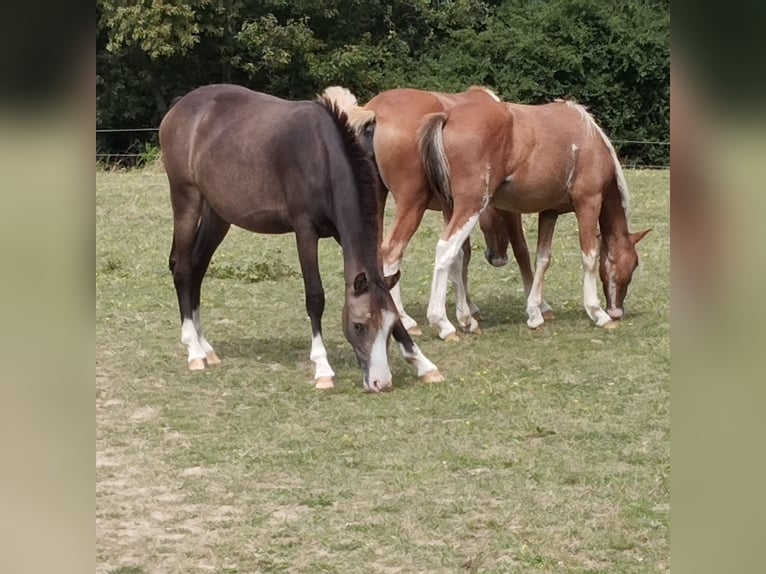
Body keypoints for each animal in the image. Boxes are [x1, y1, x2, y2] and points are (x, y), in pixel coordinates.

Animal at [160, 84, 444, 392]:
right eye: (359, 325)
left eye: (390, 326)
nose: (380, 382)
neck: (321, 156)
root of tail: (179, 106)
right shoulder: (305, 231)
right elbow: (315, 296)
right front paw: (322, 368)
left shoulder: (340, 234)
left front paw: (424, 364)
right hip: (186, 200)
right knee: (183, 270)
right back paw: (194, 350)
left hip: (218, 215)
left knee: (198, 269)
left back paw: (206, 347)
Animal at [322, 86, 540, 342]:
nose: (497, 258)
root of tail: (375, 112)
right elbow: (521, 250)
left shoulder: (451, 206)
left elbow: (460, 256)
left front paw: (467, 310)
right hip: (412, 203)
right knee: (392, 252)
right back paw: (407, 320)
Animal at [420, 97, 656, 336]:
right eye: (631, 264)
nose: (617, 312)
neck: (590, 141)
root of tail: (447, 116)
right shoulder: (588, 204)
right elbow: (589, 256)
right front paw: (597, 312)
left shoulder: (549, 212)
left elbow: (542, 258)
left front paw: (535, 314)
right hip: (471, 205)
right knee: (446, 250)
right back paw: (442, 322)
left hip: (452, 208)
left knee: (458, 256)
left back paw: (466, 319)